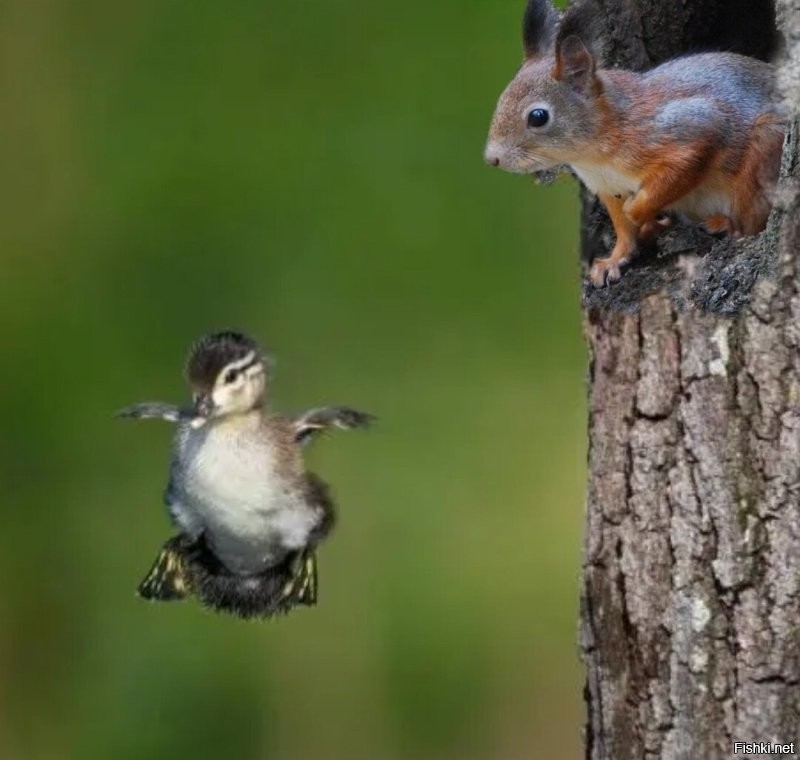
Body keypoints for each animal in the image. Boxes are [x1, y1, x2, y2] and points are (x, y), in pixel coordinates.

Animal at [484, 0, 784, 288]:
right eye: (501, 99)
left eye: (538, 117)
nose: (492, 159)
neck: (594, 156)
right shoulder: (608, 188)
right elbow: (623, 229)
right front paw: (613, 260)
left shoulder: (692, 128)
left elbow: (675, 173)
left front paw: (642, 214)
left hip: (765, 146)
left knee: (753, 221)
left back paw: (728, 225)